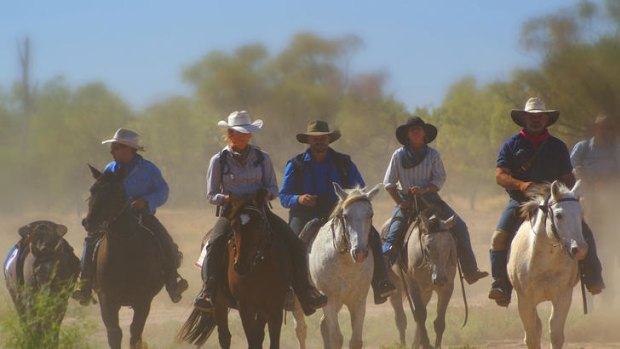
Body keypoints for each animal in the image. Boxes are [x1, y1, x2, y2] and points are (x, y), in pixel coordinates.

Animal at [3, 220, 81, 348]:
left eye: (57, 270)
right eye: (36, 273)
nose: (47, 295)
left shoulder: (61, 301)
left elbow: (53, 325)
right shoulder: (30, 300)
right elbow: (35, 325)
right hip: (17, 299)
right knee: (26, 322)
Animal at [82, 165, 166, 348]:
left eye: (115, 191)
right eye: (92, 190)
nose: (88, 222)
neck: (125, 251)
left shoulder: (143, 300)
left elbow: (135, 332)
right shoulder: (106, 299)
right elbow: (114, 333)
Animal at [178, 190, 290, 348]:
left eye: (259, 225)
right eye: (234, 226)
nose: (241, 265)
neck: (259, 267)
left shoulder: (274, 306)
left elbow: (270, 340)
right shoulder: (245, 307)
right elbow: (253, 340)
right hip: (218, 304)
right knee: (225, 337)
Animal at [292, 182, 382, 348]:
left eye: (370, 215)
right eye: (345, 216)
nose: (360, 252)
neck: (346, 263)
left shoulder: (358, 301)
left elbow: (356, 340)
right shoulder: (330, 300)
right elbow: (336, 338)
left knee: (322, 325)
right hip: (298, 300)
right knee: (300, 329)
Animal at [506, 179, 588, 348]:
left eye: (581, 214)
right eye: (559, 215)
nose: (580, 250)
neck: (544, 265)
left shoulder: (563, 297)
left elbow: (556, 335)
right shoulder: (524, 301)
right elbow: (531, 338)